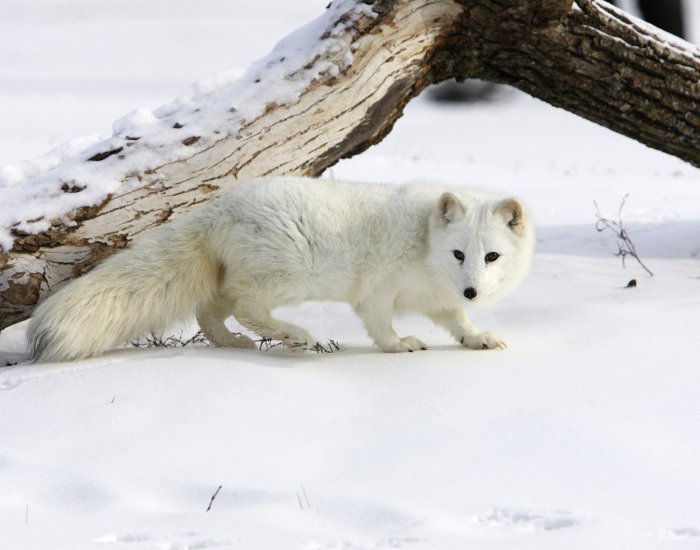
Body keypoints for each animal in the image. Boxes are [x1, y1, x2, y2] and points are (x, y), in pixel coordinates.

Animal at [27, 177, 535, 362]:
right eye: (459, 254)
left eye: (491, 257)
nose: (472, 290)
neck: (424, 245)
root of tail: (221, 206)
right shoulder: (376, 291)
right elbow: (379, 326)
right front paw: (399, 346)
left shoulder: (436, 298)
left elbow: (457, 321)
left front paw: (479, 338)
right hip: (288, 276)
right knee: (246, 305)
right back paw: (296, 337)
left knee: (210, 312)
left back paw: (234, 344)